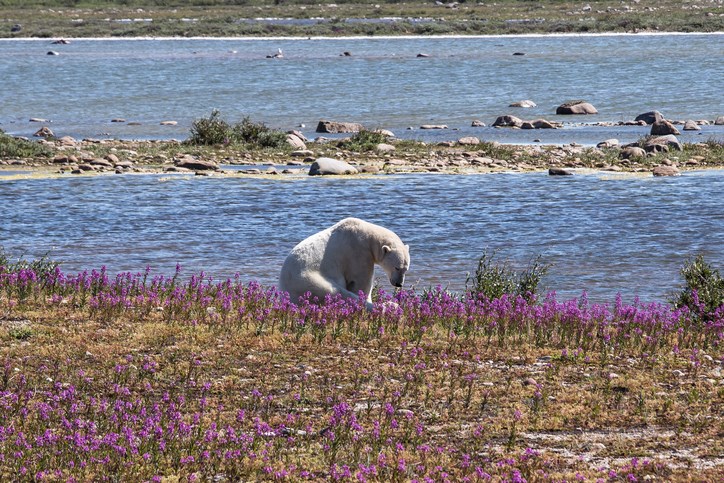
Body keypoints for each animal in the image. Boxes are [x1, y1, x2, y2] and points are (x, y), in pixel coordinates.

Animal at [280, 217, 410, 308]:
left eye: (406, 269)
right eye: (397, 267)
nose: (399, 284)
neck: (368, 236)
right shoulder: (358, 252)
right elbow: (361, 282)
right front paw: (368, 299)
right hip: (307, 280)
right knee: (336, 292)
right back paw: (387, 306)